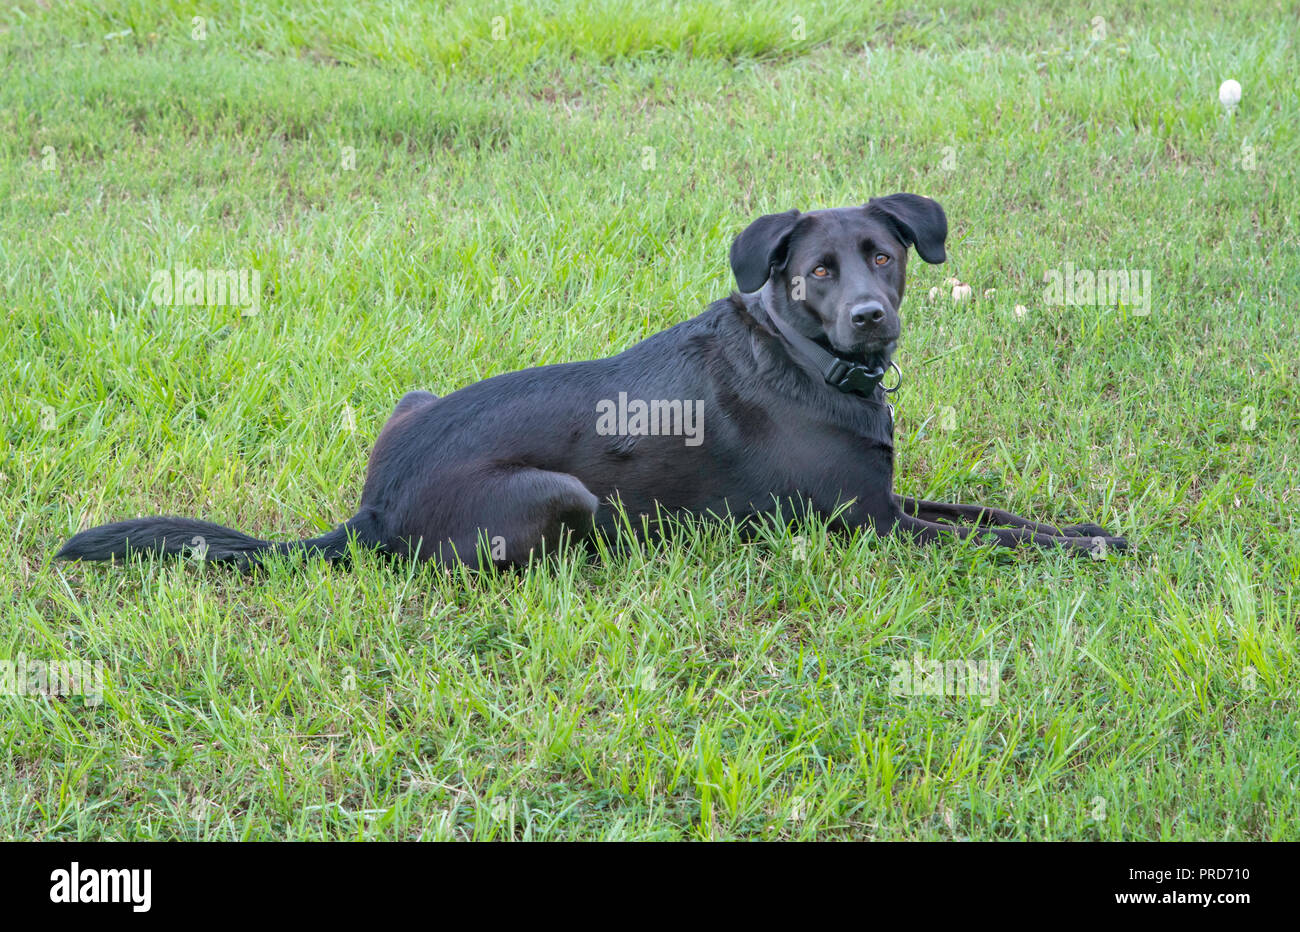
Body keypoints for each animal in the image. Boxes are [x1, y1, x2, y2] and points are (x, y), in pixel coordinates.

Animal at [55, 194, 1123, 566]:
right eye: (816, 273)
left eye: (884, 258)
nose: (872, 316)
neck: (804, 356)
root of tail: (371, 511)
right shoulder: (875, 528)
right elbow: (992, 541)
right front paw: (1078, 549)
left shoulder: (895, 503)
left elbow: (991, 513)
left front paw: (1087, 529)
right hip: (562, 494)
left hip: (413, 401)